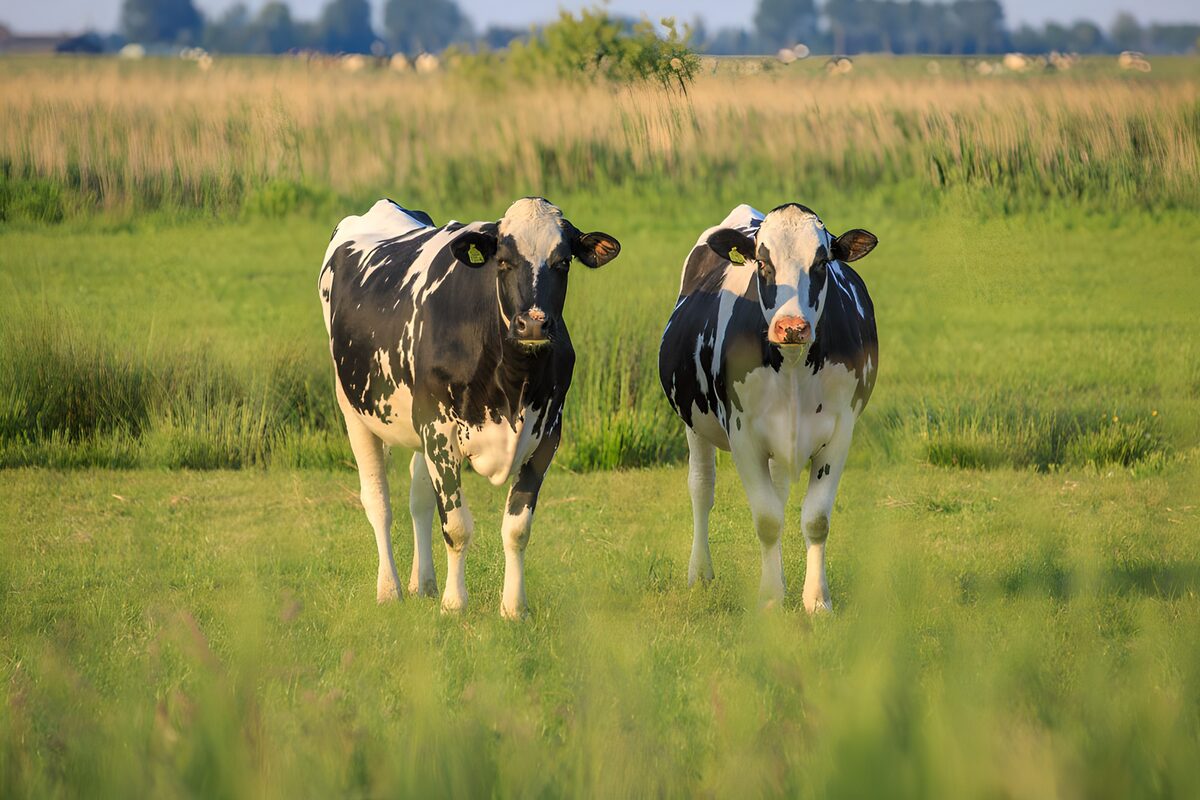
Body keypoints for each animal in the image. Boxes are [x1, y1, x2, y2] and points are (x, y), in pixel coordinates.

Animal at [319, 197, 620, 617]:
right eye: (503, 261)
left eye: (563, 262)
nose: (533, 325)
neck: (513, 382)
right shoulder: (439, 432)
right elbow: (457, 526)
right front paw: (454, 604)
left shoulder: (547, 436)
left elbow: (517, 528)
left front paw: (514, 608)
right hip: (354, 412)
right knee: (378, 503)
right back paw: (390, 589)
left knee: (419, 501)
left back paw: (422, 583)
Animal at [658, 203, 879, 612]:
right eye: (763, 262)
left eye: (822, 262)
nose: (791, 326)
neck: (792, 365)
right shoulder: (743, 435)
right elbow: (767, 519)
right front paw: (771, 600)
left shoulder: (840, 432)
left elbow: (815, 519)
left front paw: (815, 600)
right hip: (694, 422)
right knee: (701, 488)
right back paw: (700, 573)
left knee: (778, 491)